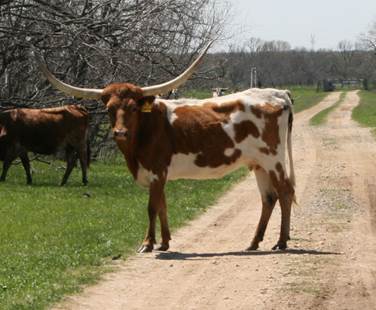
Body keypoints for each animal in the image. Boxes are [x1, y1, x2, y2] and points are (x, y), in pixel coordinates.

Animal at [34, 41, 294, 252]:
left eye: (133, 108)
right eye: (109, 108)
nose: (120, 132)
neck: (144, 132)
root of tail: (277, 93)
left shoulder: (157, 171)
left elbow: (152, 207)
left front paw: (148, 243)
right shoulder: (157, 175)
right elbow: (162, 206)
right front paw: (165, 242)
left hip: (274, 159)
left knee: (285, 192)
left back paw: (281, 242)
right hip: (258, 164)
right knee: (268, 198)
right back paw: (253, 242)